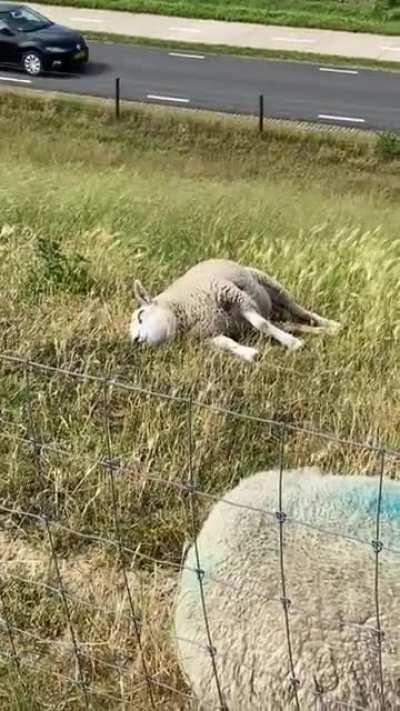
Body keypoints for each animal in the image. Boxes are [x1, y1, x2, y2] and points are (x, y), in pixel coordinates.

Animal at [129, 259, 341, 363]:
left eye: (141, 315)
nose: (136, 340)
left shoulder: (234, 296)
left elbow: (261, 324)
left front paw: (295, 345)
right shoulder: (209, 334)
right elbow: (228, 344)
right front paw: (250, 354)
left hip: (270, 284)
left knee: (299, 311)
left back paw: (332, 325)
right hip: (271, 314)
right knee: (290, 324)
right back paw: (324, 332)